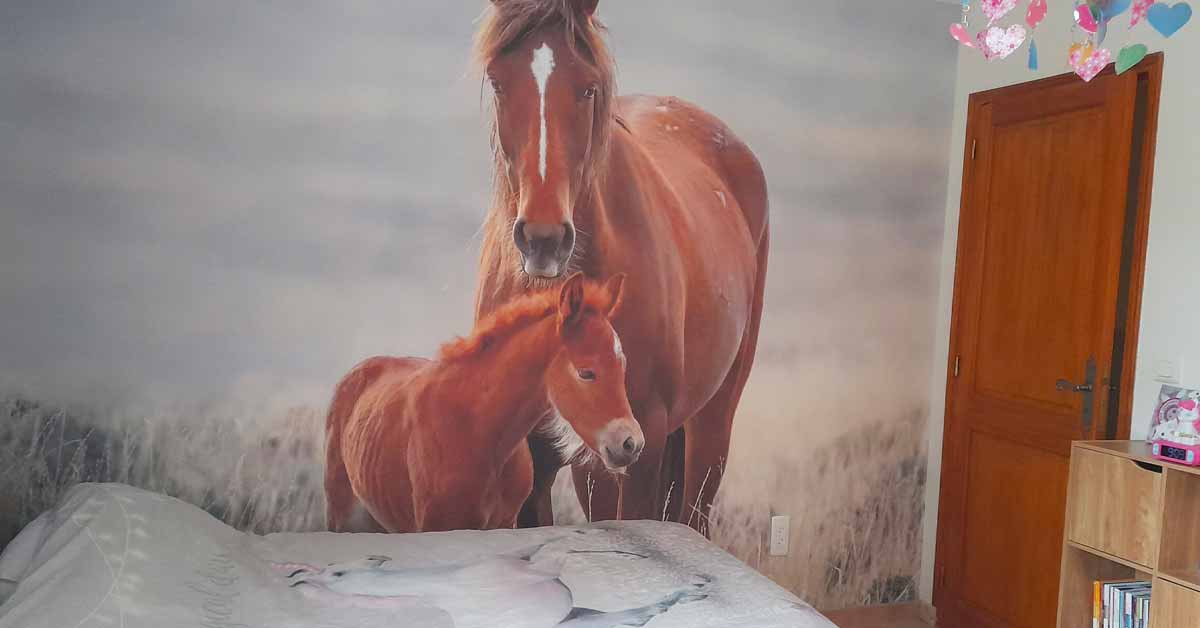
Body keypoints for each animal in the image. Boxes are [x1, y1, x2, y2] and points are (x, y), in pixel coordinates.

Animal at [319, 272, 638, 533]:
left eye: (622, 366)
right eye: (586, 372)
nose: (631, 444)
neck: (478, 431)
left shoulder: (504, 523)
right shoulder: (437, 525)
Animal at [470, 0, 768, 535]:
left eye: (588, 87)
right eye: (498, 81)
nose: (544, 239)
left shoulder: (635, 441)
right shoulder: (530, 454)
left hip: (708, 430)